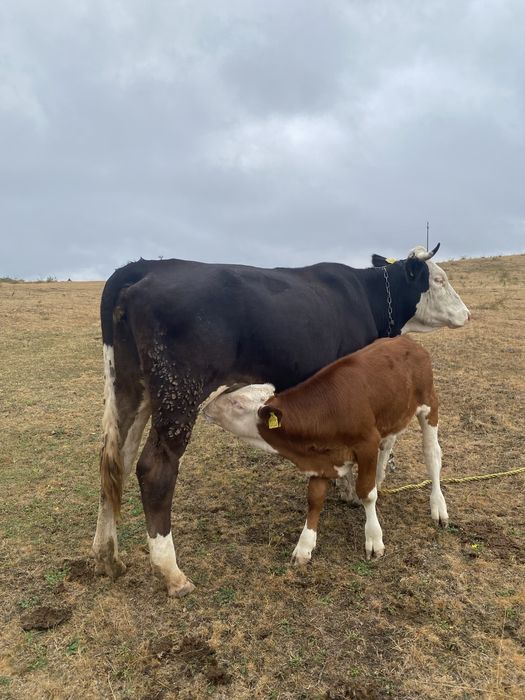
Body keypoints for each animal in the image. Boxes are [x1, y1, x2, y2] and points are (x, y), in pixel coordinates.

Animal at [204, 336, 448, 564]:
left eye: (237, 404)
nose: (207, 407)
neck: (327, 412)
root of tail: (405, 340)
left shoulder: (367, 444)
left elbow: (366, 493)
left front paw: (374, 538)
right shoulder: (321, 460)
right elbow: (314, 499)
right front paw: (304, 545)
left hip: (429, 404)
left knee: (432, 455)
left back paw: (438, 506)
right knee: (388, 446)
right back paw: (380, 478)